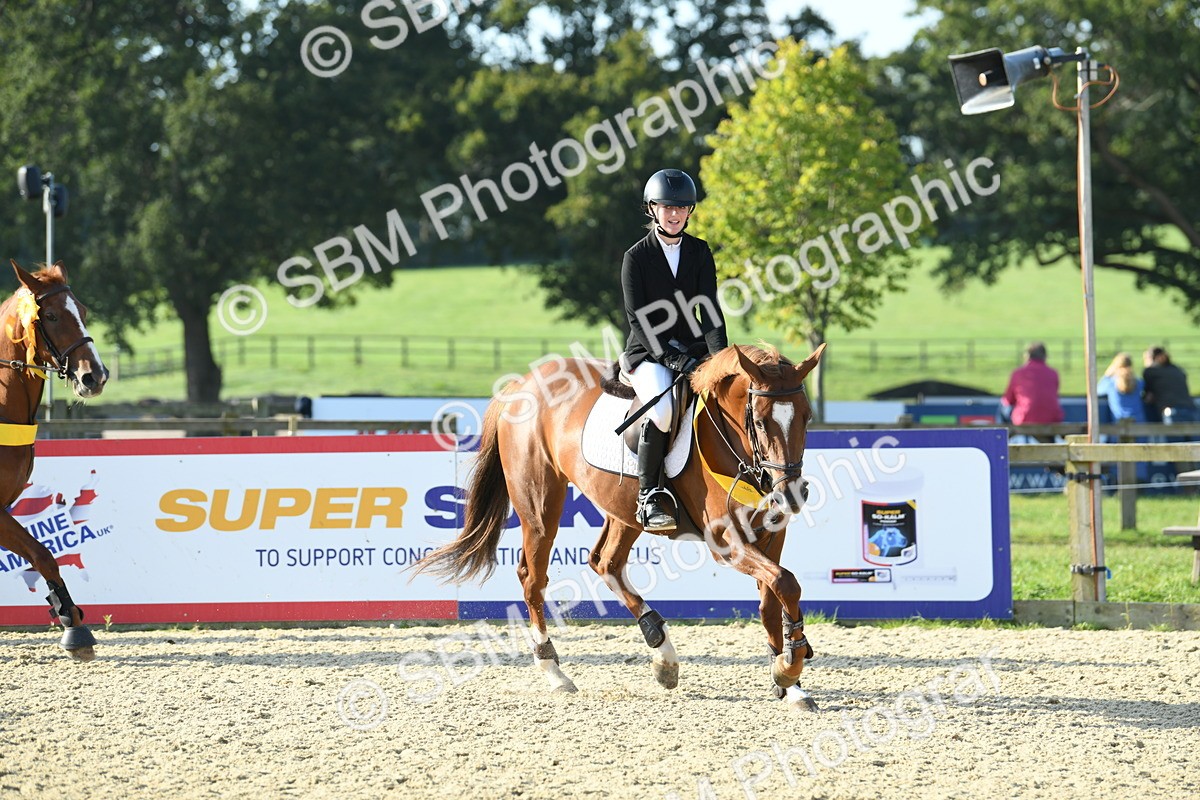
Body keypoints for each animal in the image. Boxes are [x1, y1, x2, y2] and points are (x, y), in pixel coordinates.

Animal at [0, 262, 108, 660]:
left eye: (83, 311)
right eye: (50, 315)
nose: (95, 375)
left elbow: (42, 553)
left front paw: (70, 618)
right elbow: (43, 554)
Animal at [415, 342, 825, 710]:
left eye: (806, 417)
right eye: (759, 421)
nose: (790, 494)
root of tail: (522, 383)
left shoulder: (771, 533)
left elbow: (773, 597)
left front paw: (789, 680)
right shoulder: (725, 539)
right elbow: (786, 582)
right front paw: (789, 666)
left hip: (622, 507)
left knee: (605, 562)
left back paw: (663, 654)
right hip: (540, 505)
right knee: (534, 578)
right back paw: (554, 670)